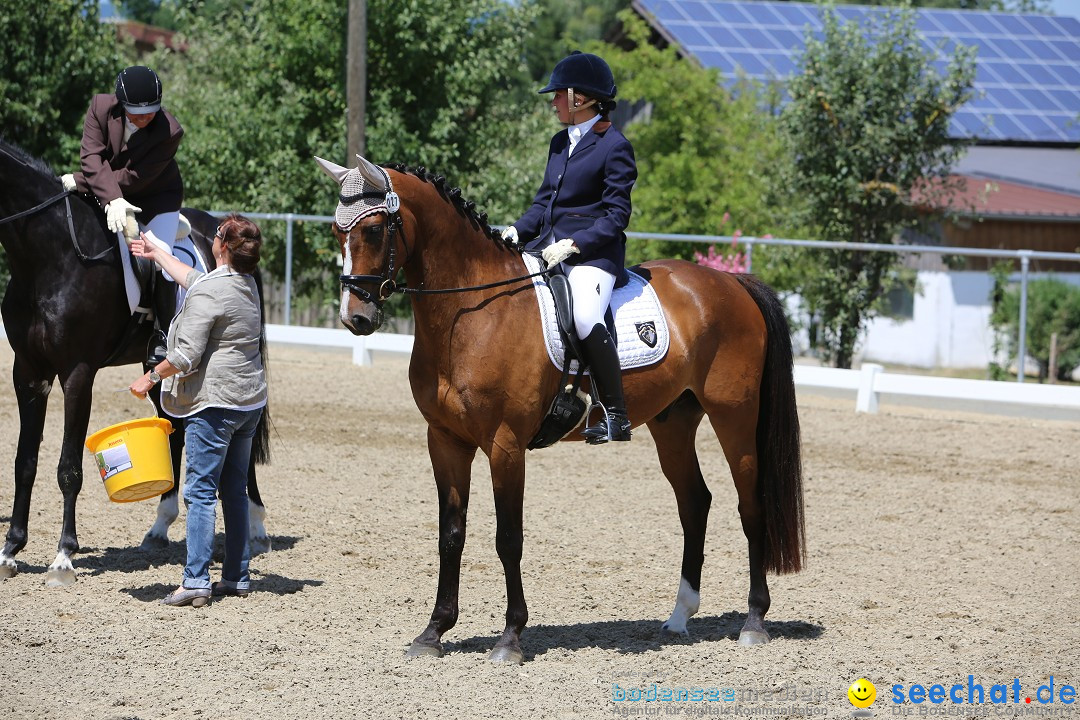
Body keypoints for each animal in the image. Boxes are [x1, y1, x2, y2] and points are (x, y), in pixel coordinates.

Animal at [0, 138, 270, 587]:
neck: (46, 257)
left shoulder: (77, 373)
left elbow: (68, 467)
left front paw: (63, 557)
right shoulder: (29, 372)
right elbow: (25, 463)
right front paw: (10, 550)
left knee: (241, 440)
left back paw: (256, 528)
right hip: (160, 369)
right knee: (175, 431)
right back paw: (159, 527)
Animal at [315, 155, 807, 669]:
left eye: (373, 230)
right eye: (335, 231)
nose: (355, 318)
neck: (469, 311)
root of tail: (732, 282)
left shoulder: (506, 445)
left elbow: (508, 538)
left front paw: (510, 638)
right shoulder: (445, 440)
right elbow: (451, 534)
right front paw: (433, 632)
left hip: (734, 416)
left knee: (749, 505)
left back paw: (754, 622)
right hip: (673, 423)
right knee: (695, 503)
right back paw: (678, 618)